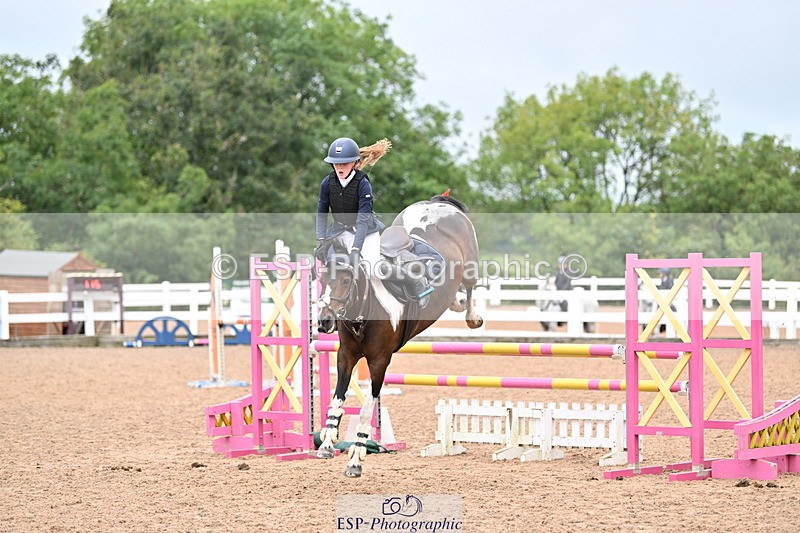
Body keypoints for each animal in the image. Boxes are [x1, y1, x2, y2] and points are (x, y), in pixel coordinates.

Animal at [315, 194, 483, 477]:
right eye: (321, 279)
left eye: (347, 281)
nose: (324, 322)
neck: (365, 308)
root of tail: (437, 201)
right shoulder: (345, 356)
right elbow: (337, 400)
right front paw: (327, 443)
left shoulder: (379, 362)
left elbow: (366, 410)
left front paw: (355, 460)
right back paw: (455, 302)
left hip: (470, 263)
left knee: (471, 287)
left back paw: (471, 315)